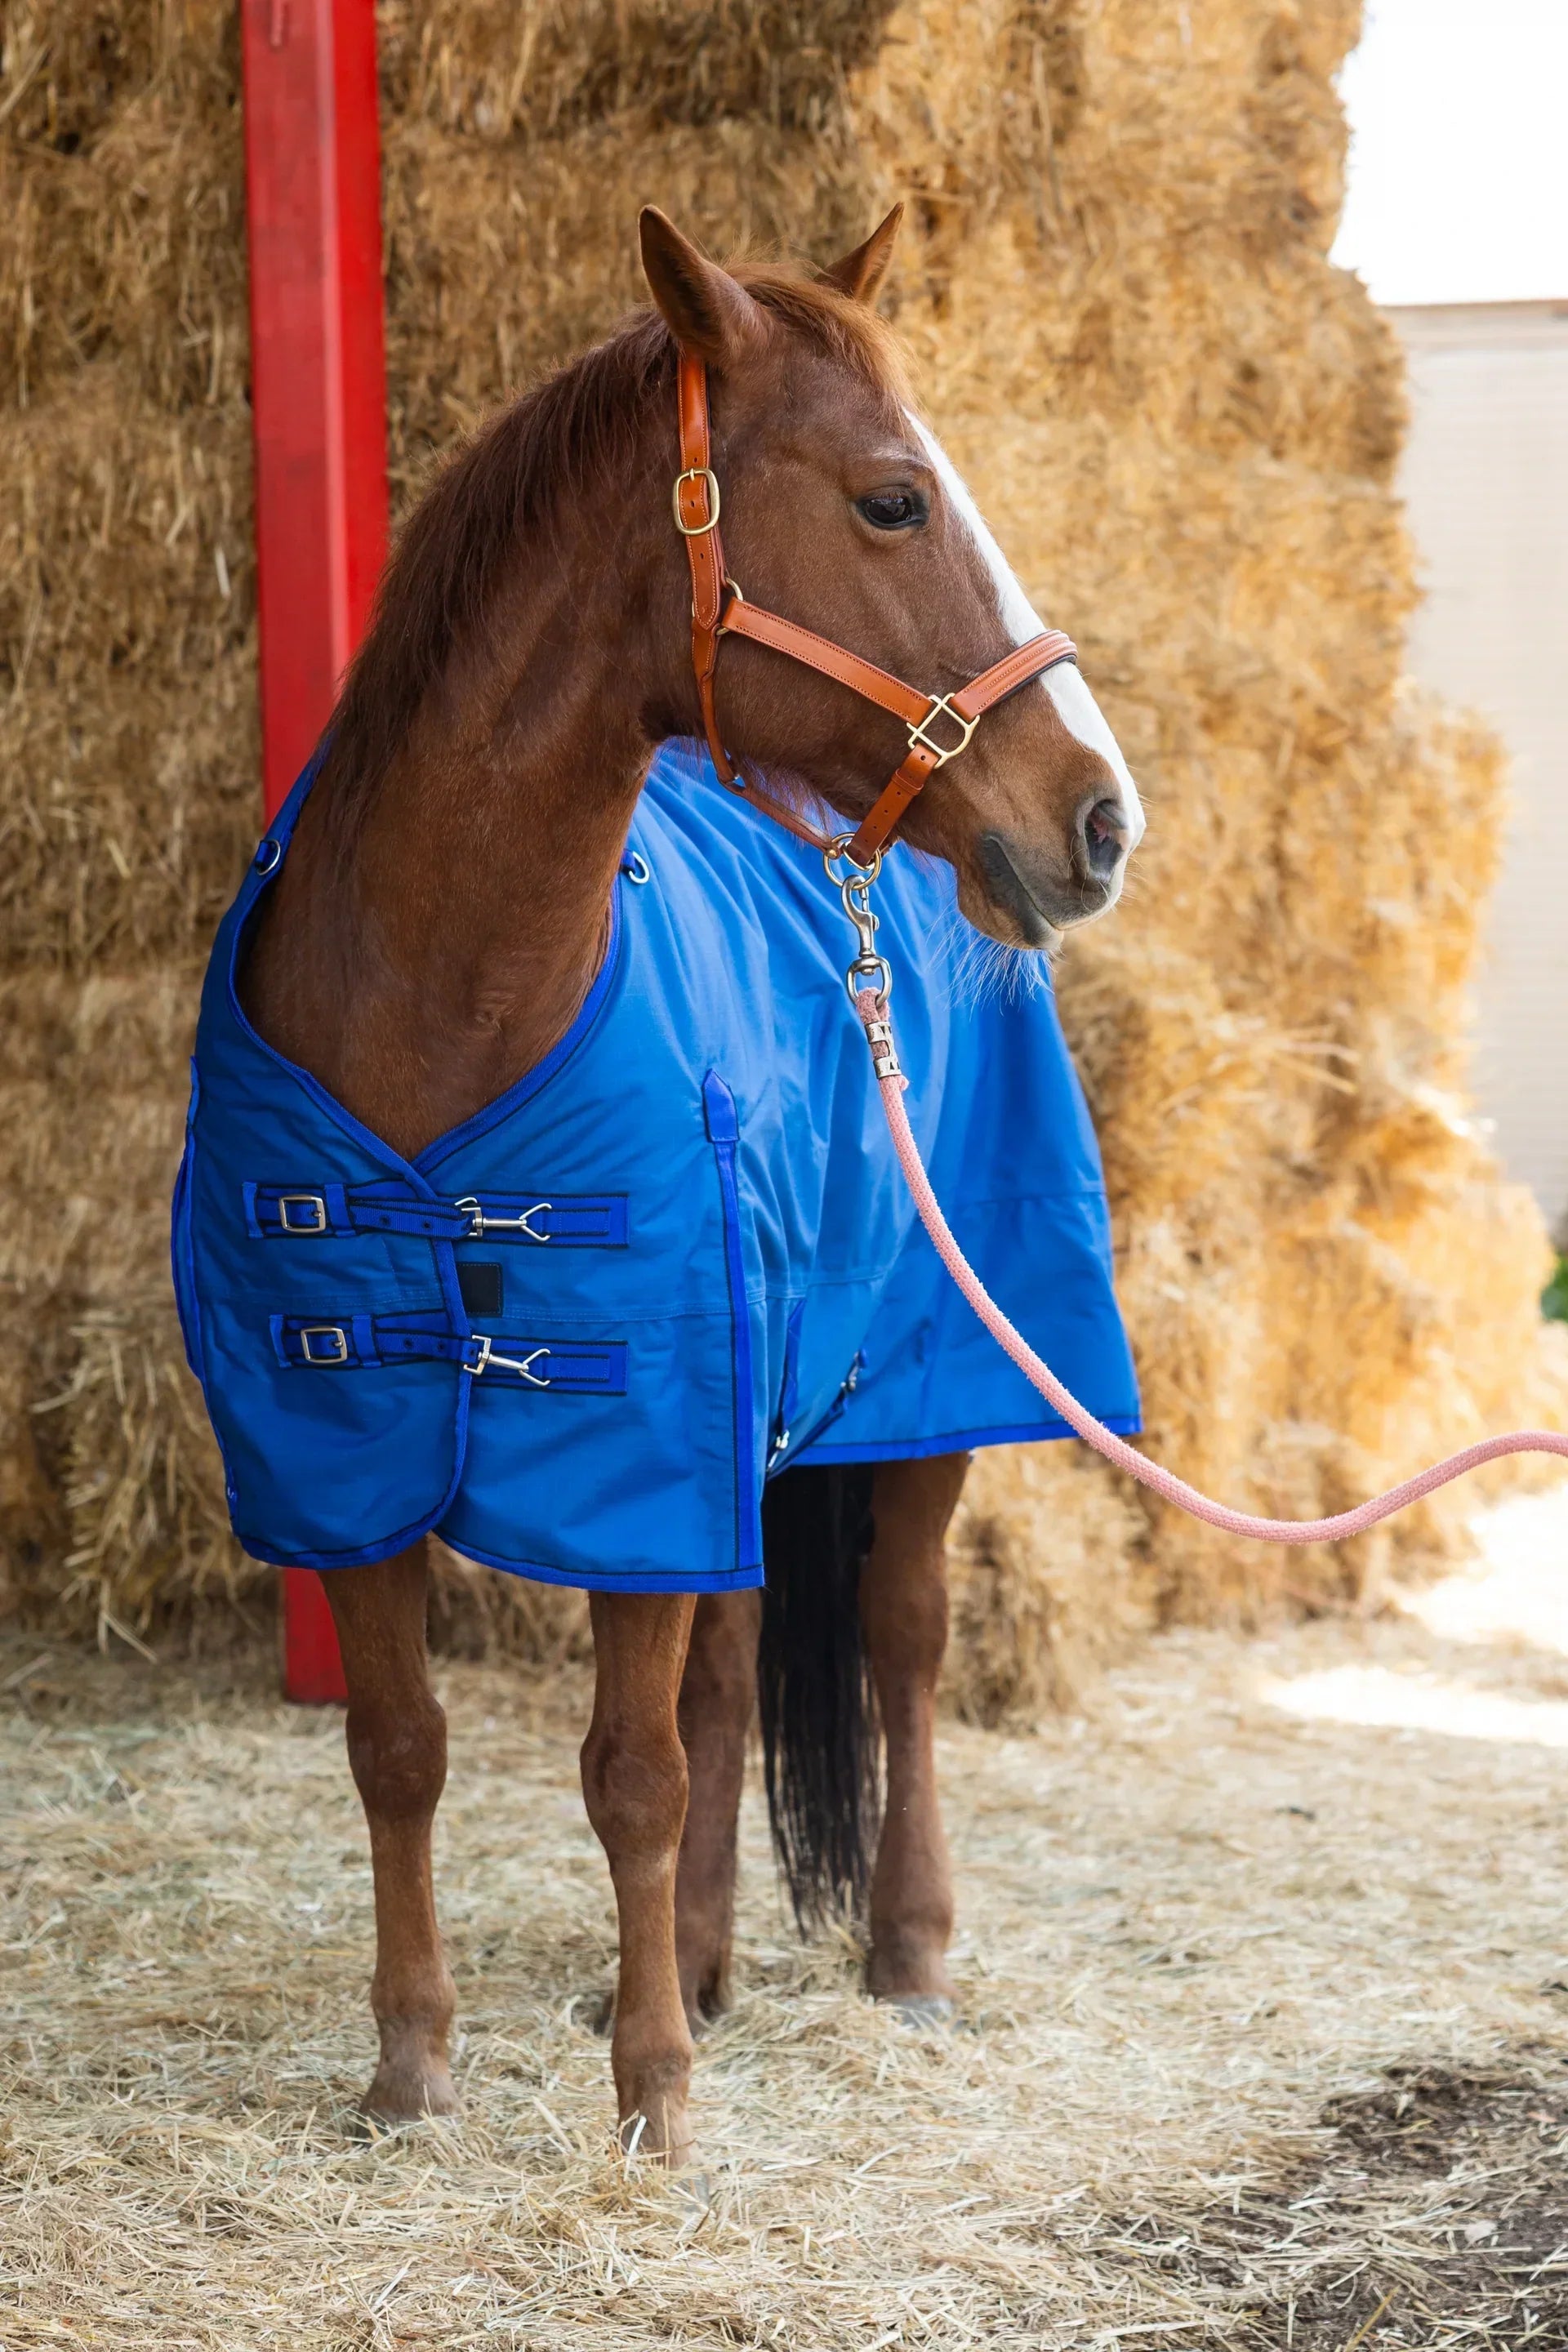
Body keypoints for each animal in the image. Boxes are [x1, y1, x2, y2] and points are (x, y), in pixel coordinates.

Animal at [192, 204, 1143, 2166]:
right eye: (890, 501)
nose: (1100, 819)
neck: (440, 1011)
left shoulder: (633, 1448)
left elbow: (628, 1769)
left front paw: (655, 2106)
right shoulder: (352, 1446)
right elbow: (403, 1748)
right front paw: (415, 2073)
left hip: (928, 1382)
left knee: (904, 1640)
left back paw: (905, 1956)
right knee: (731, 1672)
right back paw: (701, 1961)